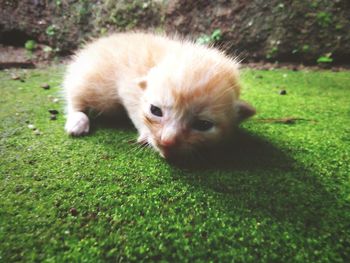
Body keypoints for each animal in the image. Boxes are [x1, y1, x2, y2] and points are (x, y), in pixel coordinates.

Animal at [63, 32, 254, 159]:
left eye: (203, 125)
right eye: (155, 111)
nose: (167, 141)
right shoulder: (127, 86)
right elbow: (134, 108)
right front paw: (146, 135)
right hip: (88, 78)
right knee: (75, 97)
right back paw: (77, 120)